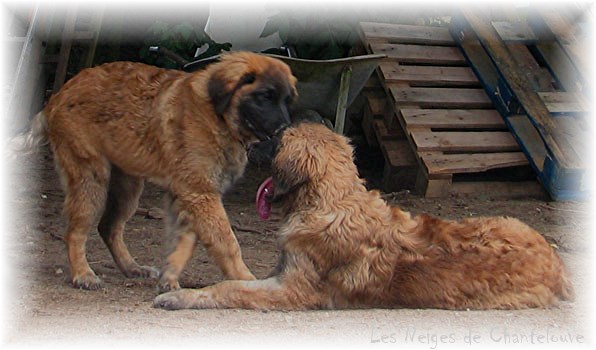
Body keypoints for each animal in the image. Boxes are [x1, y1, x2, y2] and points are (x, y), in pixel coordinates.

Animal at [23, 52, 298, 292]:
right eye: (264, 97)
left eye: (286, 101)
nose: (285, 129)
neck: (216, 116)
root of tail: (57, 96)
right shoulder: (201, 194)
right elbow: (227, 241)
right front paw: (245, 280)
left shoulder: (191, 194)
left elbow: (183, 241)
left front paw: (169, 278)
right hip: (90, 178)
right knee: (75, 231)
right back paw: (83, 274)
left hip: (128, 185)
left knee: (109, 226)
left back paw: (131, 267)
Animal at [154, 121, 572, 310]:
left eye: (276, 140)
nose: (251, 143)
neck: (328, 201)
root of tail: (555, 259)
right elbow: (239, 281)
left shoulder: (293, 289)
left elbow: (231, 288)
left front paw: (180, 297)